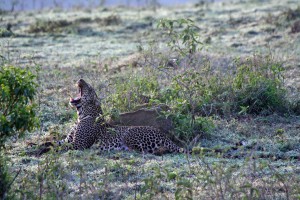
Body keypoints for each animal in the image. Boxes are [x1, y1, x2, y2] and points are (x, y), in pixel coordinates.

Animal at [55, 78, 184, 155]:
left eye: (90, 88)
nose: (80, 79)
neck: (80, 116)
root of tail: (163, 135)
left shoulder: (78, 145)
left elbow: (59, 148)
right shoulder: (67, 140)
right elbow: (54, 143)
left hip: (129, 134)